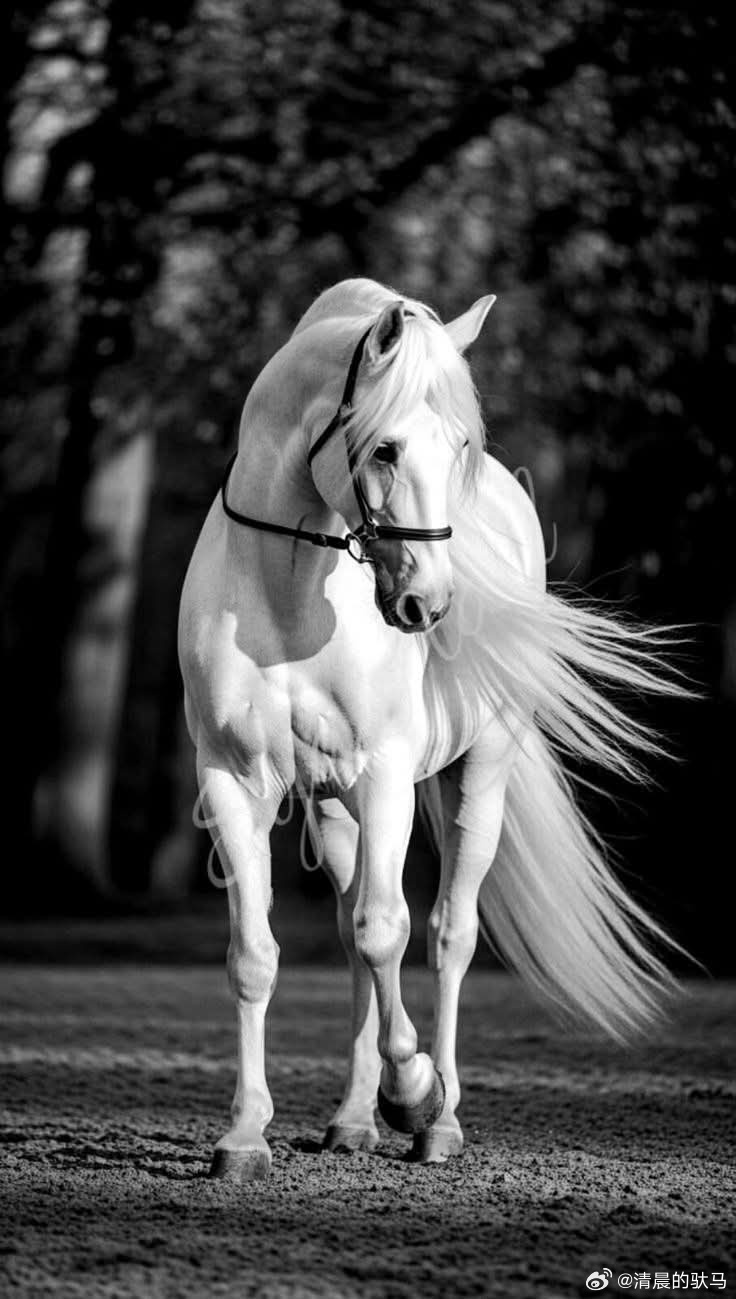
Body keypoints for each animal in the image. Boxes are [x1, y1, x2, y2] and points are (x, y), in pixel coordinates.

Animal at [178, 277, 681, 1179]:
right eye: (383, 449)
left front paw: (411, 1090)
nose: (429, 604)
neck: (285, 594)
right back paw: (352, 1118)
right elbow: (257, 955)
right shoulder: (233, 780)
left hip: (474, 777)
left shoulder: (385, 776)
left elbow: (390, 933)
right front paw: (243, 1134)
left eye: (458, 449)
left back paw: (437, 1119)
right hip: (331, 801)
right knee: (353, 932)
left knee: (446, 934)